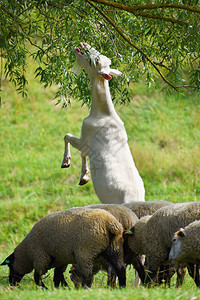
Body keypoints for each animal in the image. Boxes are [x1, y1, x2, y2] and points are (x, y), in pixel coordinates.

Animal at [60, 42, 145, 204]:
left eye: (96, 61)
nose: (83, 44)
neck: (103, 114)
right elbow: (82, 152)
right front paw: (84, 177)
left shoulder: (86, 138)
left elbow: (68, 137)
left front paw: (66, 162)